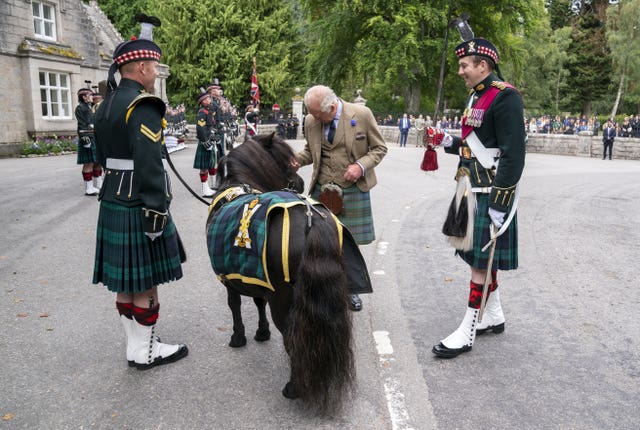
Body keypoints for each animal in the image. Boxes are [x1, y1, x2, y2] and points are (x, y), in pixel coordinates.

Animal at [206, 134, 358, 414]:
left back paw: (294, 387)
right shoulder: (254, 275)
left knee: (292, 339)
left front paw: (238, 336)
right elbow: (257, 302)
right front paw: (261, 332)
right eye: (284, 159)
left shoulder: (231, 281)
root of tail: (311, 219)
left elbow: (235, 305)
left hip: (284, 301)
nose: (299, 182)